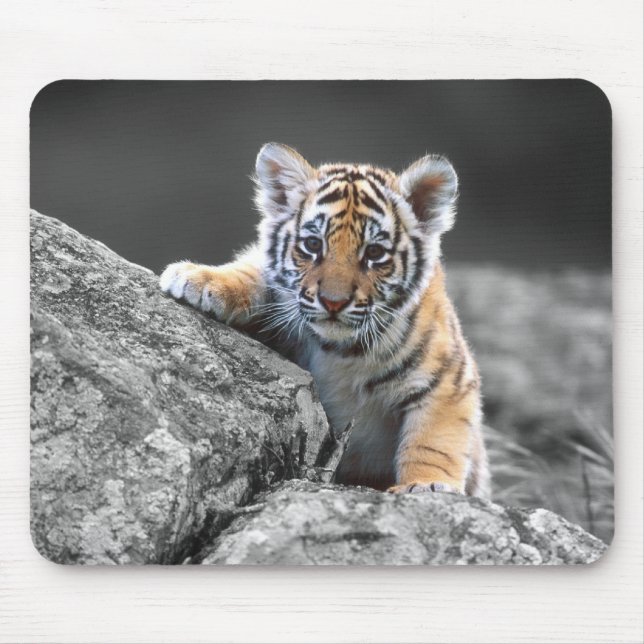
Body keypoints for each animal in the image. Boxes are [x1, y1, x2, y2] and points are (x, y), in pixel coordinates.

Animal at [160, 143, 490, 497]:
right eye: (313, 244)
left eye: (374, 253)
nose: (333, 301)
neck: (341, 351)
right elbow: (254, 270)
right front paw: (198, 278)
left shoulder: (449, 380)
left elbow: (433, 441)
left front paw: (426, 485)